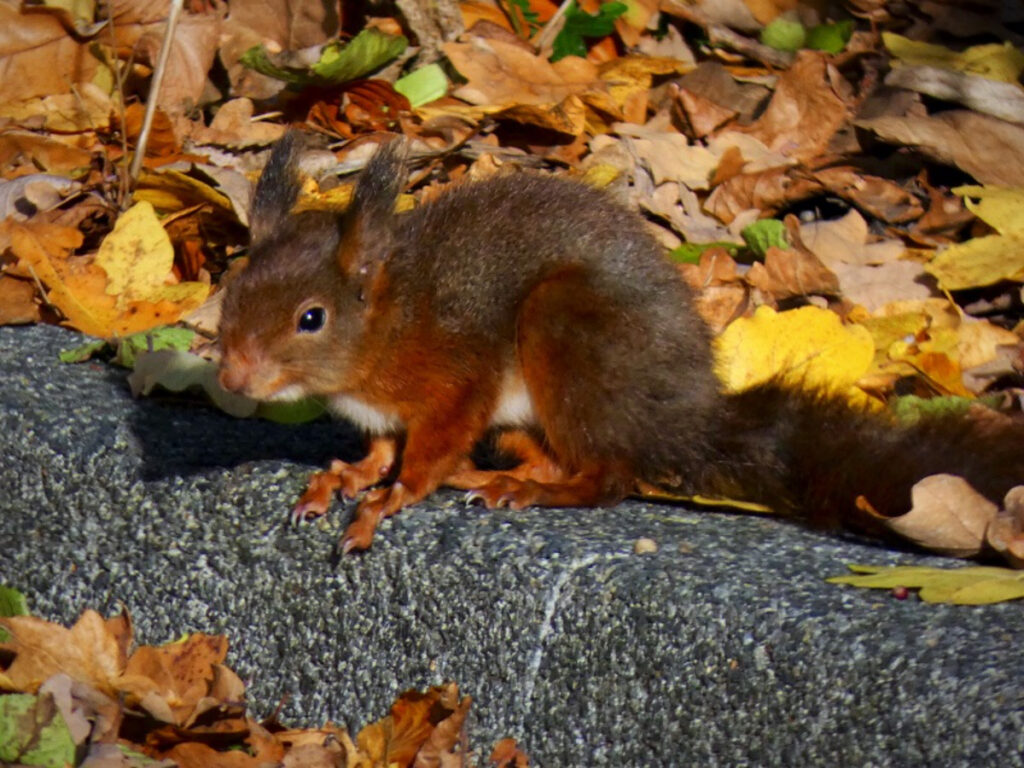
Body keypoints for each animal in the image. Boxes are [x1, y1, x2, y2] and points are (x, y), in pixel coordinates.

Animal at [218, 131, 1024, 553]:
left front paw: (388, 501)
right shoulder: (384, 415)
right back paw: (503, 474)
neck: (391, 321)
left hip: (565, 334)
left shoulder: (458, 372)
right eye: (232, 289)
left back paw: (525, 490)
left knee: (610, 477)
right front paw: (345, 477)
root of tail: (684, 418)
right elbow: (380, 449)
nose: (231, 377)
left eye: (311, 318)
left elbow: (426, 450)